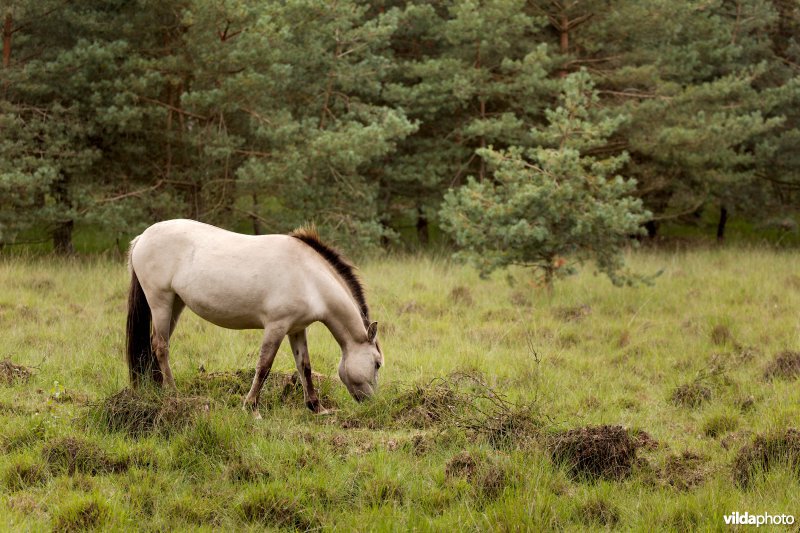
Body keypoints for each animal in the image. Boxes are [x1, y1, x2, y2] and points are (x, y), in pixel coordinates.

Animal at [125, 219, 383, 417]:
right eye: (378, 363)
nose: (373, 403)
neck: (309, 277)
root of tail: (142, 237)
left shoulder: (296, 329)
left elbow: (305, 367)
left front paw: (316, 408)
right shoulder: (276, 327)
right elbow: (264, 366)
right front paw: (252, 408)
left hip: (175, 304)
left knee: (156, 345)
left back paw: (159, 389)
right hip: (160, 301)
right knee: (161, 346)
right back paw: (173, 392)